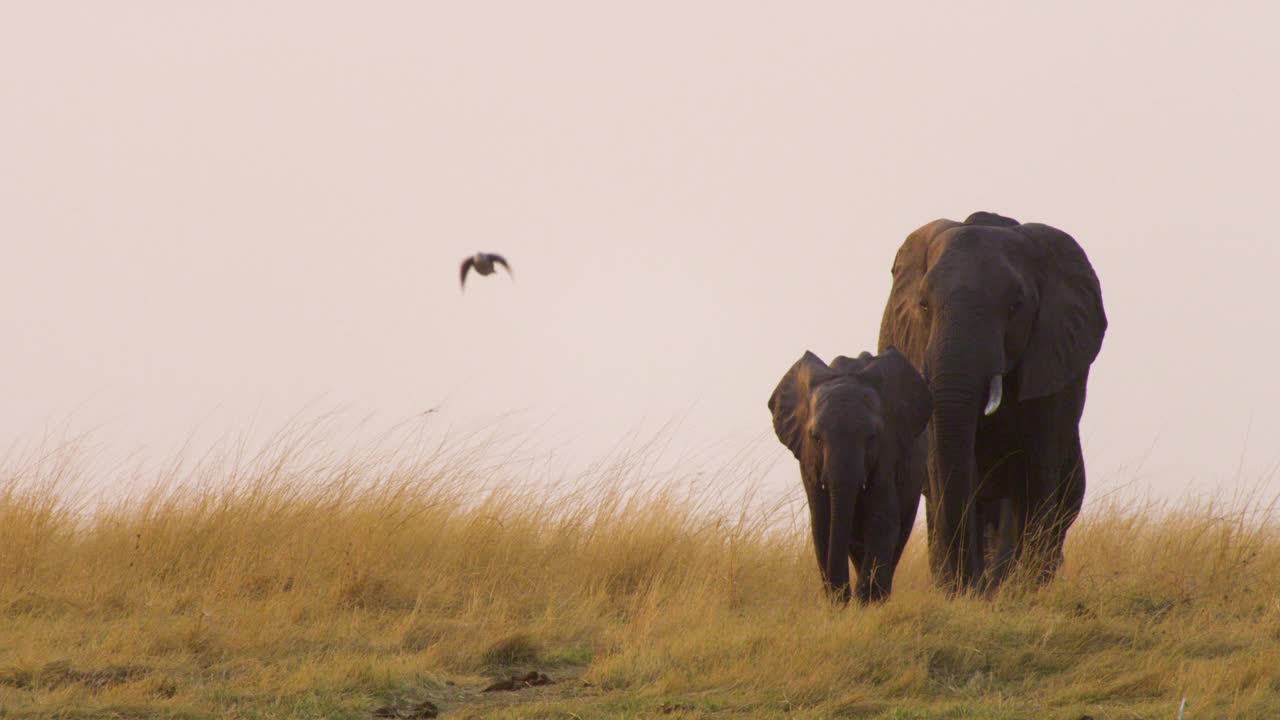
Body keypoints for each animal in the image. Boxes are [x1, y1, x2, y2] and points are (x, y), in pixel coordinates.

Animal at [768, 348, 931, 599]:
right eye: (816, 438)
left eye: (872, 438)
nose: (843, 597)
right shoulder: (808, 462)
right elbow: (823, 523)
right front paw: (842, 603)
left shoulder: (888, 452)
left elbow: (882, 521)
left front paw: (864, 603)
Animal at [875, 210, 1105, 591]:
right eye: (924, 306)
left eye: (1014, 307)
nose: (968, 585)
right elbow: (946, 469)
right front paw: (963, 591)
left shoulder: (1052, 360)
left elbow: (1039, 466)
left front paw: (1021, 590)